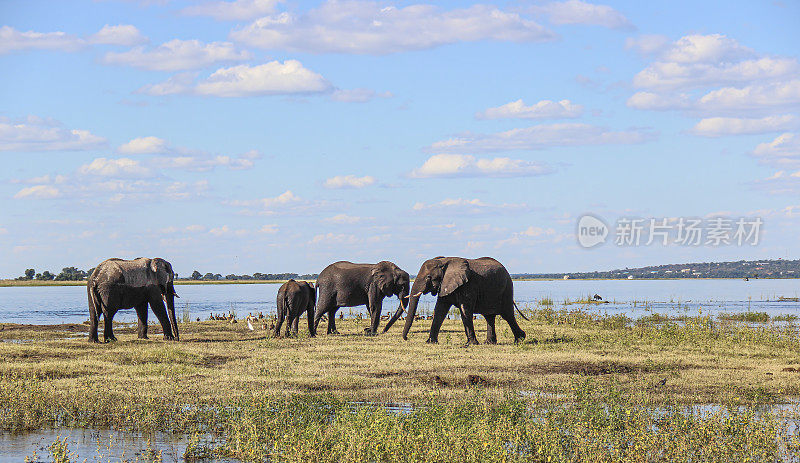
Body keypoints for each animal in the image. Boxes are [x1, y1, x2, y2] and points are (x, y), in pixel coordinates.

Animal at [384, 258, 528, 344]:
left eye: (429, 277)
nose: (406, 338)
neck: (444, 260)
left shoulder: (469, 285)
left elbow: (465, 311)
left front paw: (471, 344)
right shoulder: (445, 284)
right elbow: (440, 310)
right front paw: (431, 342)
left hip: (507, 288)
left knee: (507, 315)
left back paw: (520, 339)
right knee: (489, 317)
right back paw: (490, 343)